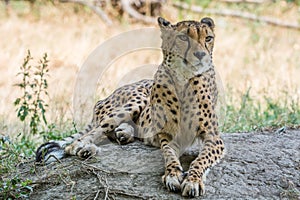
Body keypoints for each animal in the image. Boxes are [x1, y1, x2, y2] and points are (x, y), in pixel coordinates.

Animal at [35, 16, 225, 197]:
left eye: (208, 38)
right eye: (183, 38)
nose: (201, 55)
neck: (183, 79)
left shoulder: (214, 138)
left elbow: (201, 160)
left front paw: (193, 180)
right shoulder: (168, 135)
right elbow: (169, 156)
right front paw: (173, 174)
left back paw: (123, 133)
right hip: (137, 100)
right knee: (78, 141)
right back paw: (87, 148)